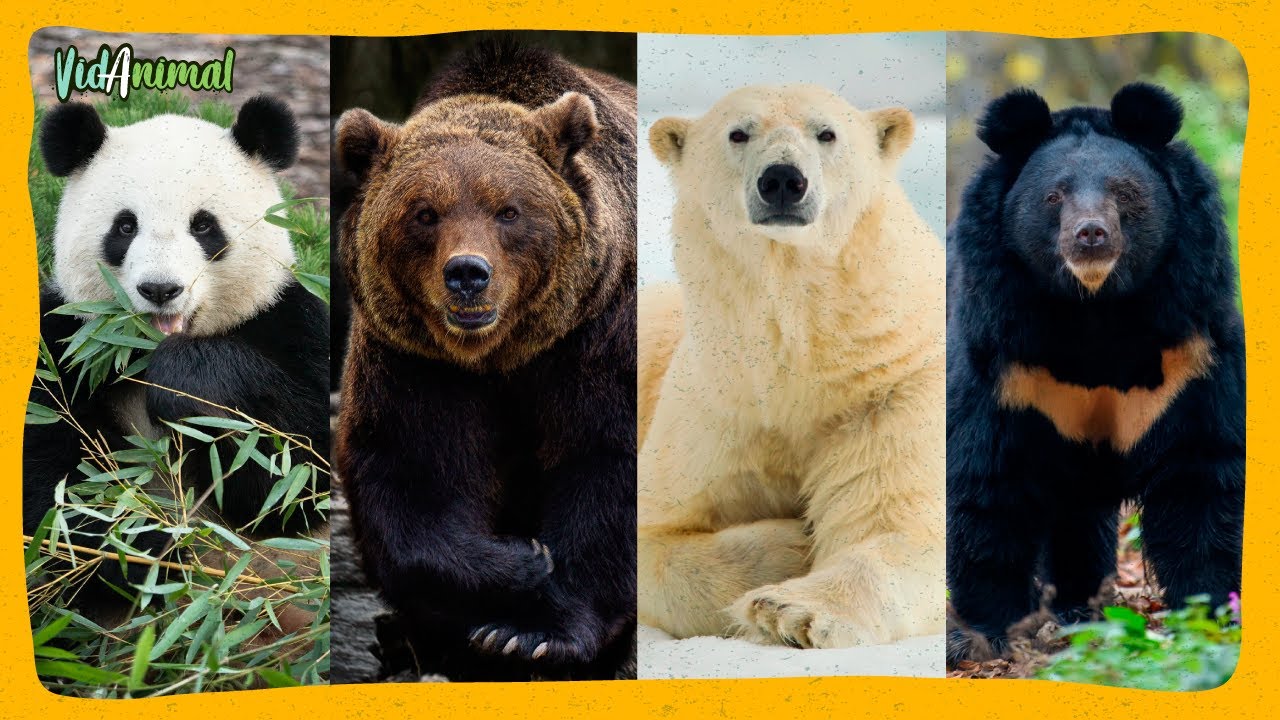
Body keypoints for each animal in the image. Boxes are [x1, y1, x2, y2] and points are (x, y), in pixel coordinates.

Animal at [25, 96, 330, 623]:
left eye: (203, 224)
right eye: (125, 226)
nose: (160, 289)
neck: (140, 354)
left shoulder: (292, 322)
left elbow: (295, 472)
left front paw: (185, 382)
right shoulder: (63, 346)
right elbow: (52, 491)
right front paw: (140, 550)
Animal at [333, 42, 637, 681]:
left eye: (509, 211)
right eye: (424, 212)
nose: (468, 274)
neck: (503, 354)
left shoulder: (597, 336)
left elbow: (607, 460)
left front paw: (534, 635)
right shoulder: (415, 359)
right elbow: (416, 473)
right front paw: (520, 565)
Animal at [637, 84, 946, 650]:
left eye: (827, 133)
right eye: (738, 132)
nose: (783, 179)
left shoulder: (892, 389)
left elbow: (899, 527)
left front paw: (790, 611)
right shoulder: (721, 406)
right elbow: (657, 528)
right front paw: (788, 547)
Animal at [945, 83, 1245, 663]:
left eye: (1125, 193)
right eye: (1054, 197)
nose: (1091, 235)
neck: (1096, 309)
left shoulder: (1190, 347)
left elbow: (1201, 473)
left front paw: (1210, 618)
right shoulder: (1003, 355)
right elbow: (987, 480)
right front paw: (985, 637)